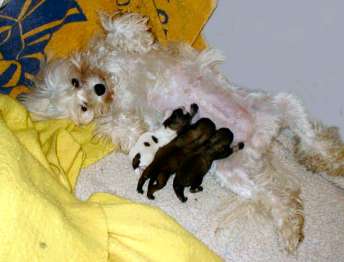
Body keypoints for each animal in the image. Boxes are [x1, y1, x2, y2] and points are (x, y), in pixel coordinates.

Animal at [20, 11, 342, 252]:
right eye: (83, 107)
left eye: (76, 81)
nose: (98, 90)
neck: (115, 80)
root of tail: (260, 139)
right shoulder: (117, 119)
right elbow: (125, 126)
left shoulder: (113, 51)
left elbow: (118, 30)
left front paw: (129, 35)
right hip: (233, 174)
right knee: (276, 197)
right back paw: (291, 227)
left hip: (283, 104)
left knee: (311, 139)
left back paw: (327, 161)